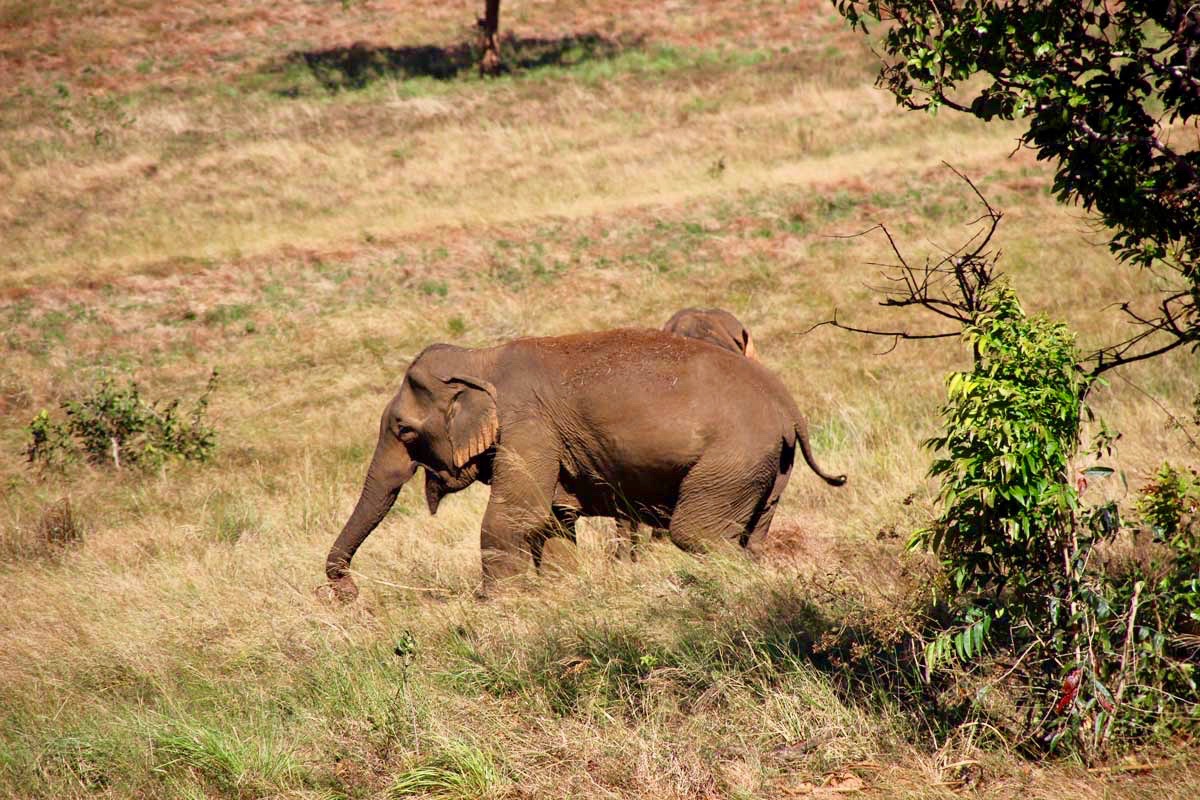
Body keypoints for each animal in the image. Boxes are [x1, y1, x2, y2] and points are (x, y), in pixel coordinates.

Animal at [324, 326, 849, 599]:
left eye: (404, 431)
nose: (348, 591)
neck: (481, 359)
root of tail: (790, 407)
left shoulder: (528, 426)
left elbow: (515, 518)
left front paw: (494, 605)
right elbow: (554, 521)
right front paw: (558, 592)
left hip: (732, 460)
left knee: (698, 534)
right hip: (768, 467)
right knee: (751, 536)